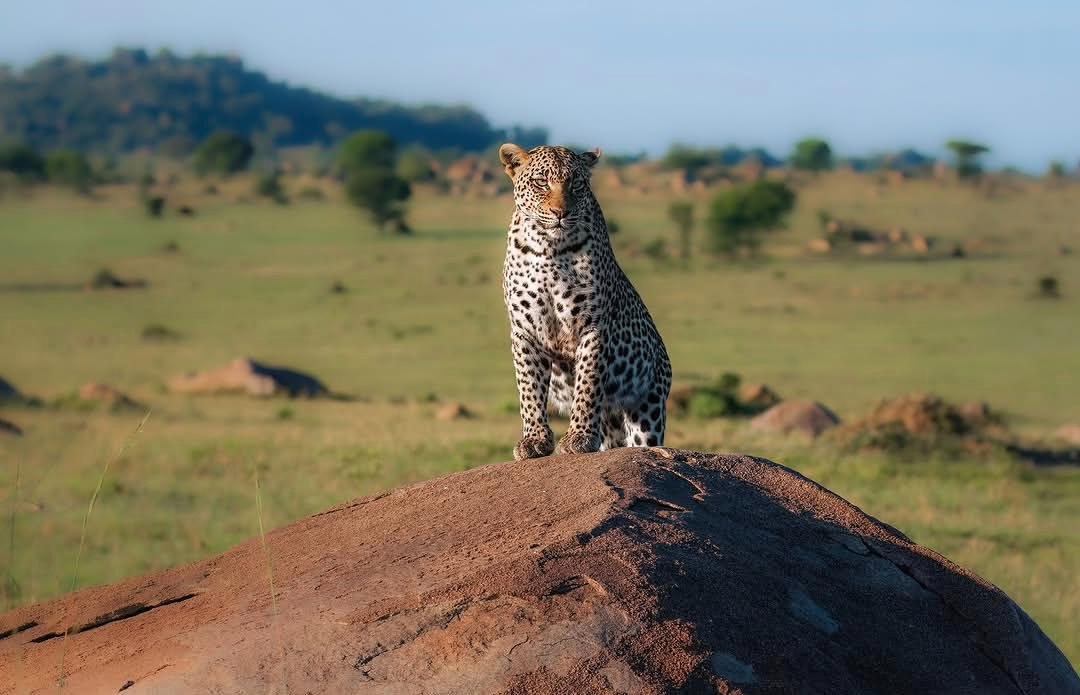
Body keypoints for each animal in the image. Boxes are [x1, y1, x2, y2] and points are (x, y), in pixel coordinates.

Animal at [499, 143, 672, 461]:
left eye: (576, 184)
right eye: (541, 182)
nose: (560, 213)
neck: (549, 247)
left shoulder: (593, 326)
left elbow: (588, 385)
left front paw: (578, 437)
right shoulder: (524, 330)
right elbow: (529, 389)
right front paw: (534, 440)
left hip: (649, 406)